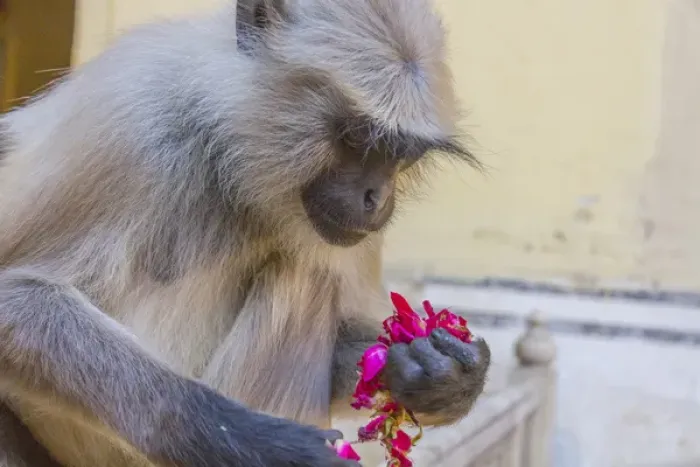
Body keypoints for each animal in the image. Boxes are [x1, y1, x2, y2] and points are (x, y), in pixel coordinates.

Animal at [0, 0, 491, 465]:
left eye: (401, 154)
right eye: (357, 139)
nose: (377, 196)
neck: (228, 145)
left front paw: (438, 375)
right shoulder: (132, 124)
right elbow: (16, 301)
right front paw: (255, 442)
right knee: (306, 274)